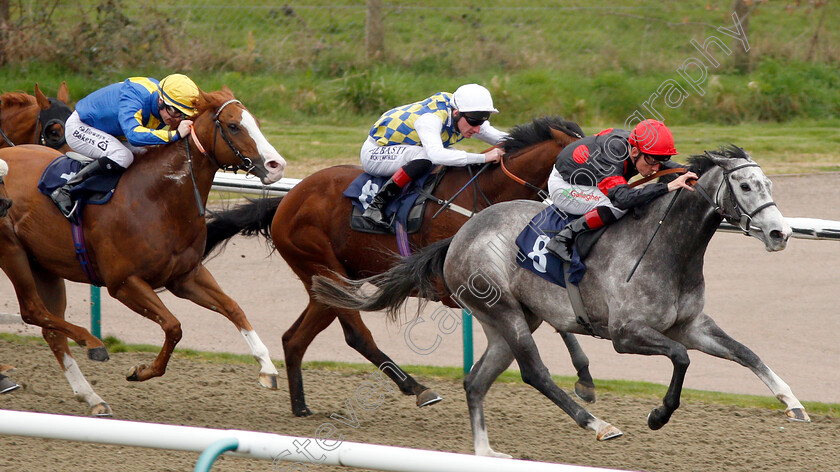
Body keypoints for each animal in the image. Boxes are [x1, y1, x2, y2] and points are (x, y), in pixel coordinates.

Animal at [0, 86, 286, 414]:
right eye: (233, 125)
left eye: (257, 123)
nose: (277, 165)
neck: (158, 198)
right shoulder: (124, 283)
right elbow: (174, 326)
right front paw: (141, 371)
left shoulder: (185, 276)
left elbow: (233, 307)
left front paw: (267, 368)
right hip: (12, 252)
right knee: (33, 310)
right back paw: (93, 344)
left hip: (44, 265)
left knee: (50, 327)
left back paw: (92, 397)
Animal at [203, 117, 596, 416]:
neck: (487, 197)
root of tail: (285, 202)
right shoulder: (458, 288)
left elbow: (560, 323)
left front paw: (585, 380)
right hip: (324, 268)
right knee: (356, 334)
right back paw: (417, 387)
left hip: (325, 283)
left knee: (294, 338)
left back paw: (300, 406)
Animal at [308, 147, 808, 458]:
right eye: (746, 187)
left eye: (767, 183)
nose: (780, 233)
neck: (668, 246)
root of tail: (460, 236)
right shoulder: (627, 335)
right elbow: (682, 360)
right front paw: (658, 415)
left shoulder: (690, 324)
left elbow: (747, 353)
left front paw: (792, 402)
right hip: (505, 311)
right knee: (536, 373)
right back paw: (596, 423)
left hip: (509, 321)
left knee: (476, 380)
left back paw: (486, 451)